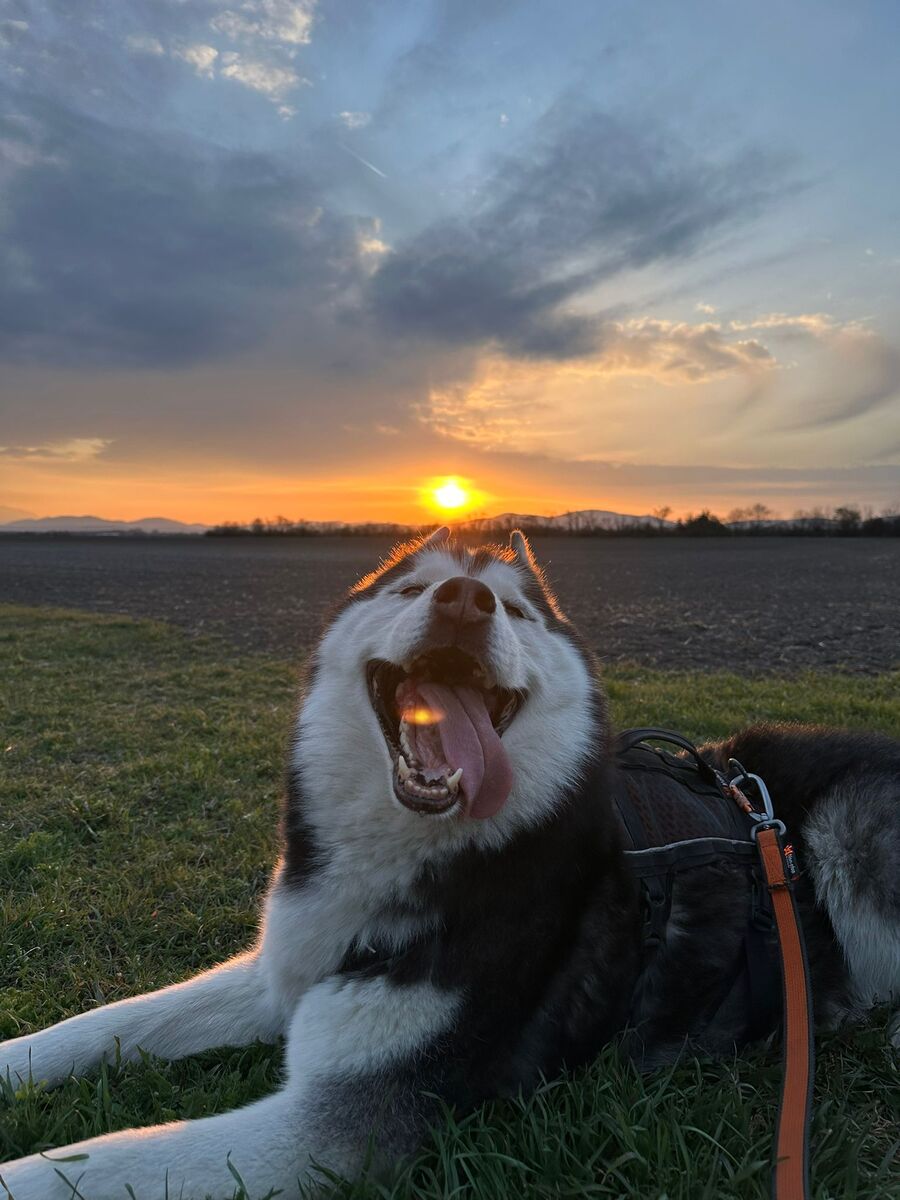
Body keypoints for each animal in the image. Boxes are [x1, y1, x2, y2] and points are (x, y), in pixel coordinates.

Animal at [2, 528, 898, 1200]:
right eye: (410, 590)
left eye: (513, 608)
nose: (464, 601)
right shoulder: (285, 970)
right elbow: (110, 1023)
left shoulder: (336, 1129)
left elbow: (90, 1162)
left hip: (852, 833)